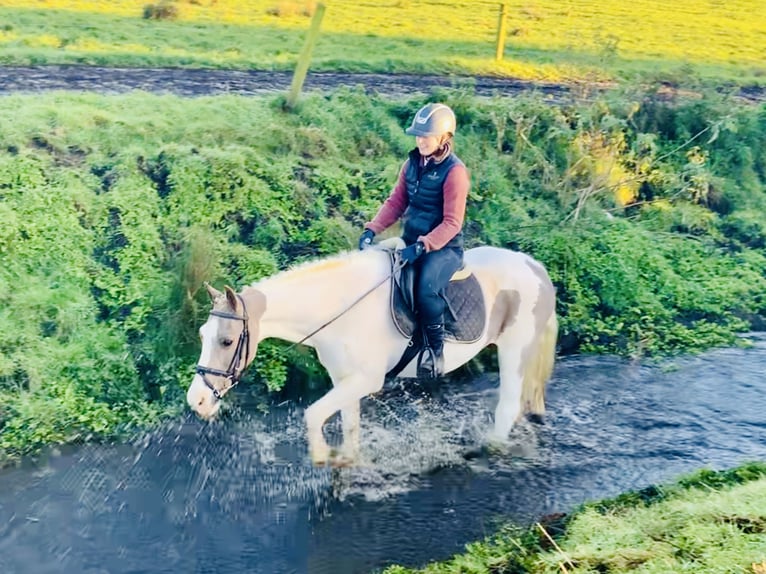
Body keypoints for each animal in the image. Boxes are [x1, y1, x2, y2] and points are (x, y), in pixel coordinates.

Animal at [186, 244, 560, 468]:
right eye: (203, 335)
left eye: (226, 341)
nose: (197, 401)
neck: (338, 307)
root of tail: (537, 267)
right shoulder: (344, 379)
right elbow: (349, 424)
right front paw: (346, 461)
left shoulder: (366, 379)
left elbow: (312, 414)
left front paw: (322, 456)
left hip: (514, 350)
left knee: (507, 406)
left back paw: (489, 450)